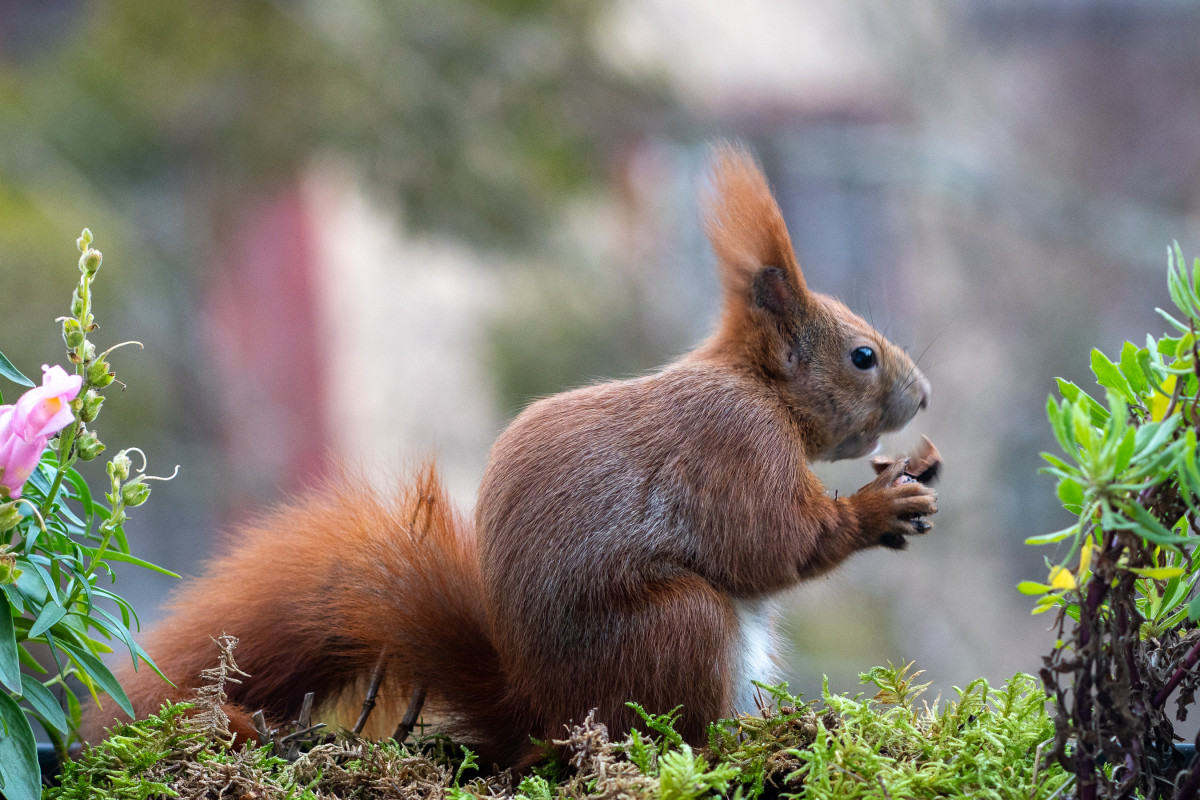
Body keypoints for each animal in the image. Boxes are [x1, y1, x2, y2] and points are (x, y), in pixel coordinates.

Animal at [88, 143, 940, 767]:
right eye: (862, 357)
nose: (925, 395)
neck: (754, 386)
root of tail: (534, 715)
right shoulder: (733, 445)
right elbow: (772, 544)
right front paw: (880, 507)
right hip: (681, 628)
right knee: (668, 729)